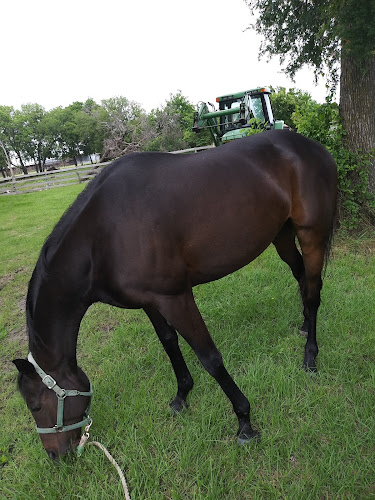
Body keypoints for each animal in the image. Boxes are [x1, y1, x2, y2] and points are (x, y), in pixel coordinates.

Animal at [13, 131, 338, 458]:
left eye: (36, 406)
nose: (56, 456)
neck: (103, 235)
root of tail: (311, 146)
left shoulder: (176, 298)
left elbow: (209, 357)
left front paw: (244, 421)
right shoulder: (150, 301)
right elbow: (169, 342)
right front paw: (182, 395)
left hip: (311, 234)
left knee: (313, 293)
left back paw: (310, 357)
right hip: (281, 234)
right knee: (301, 277)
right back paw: (303, 324)